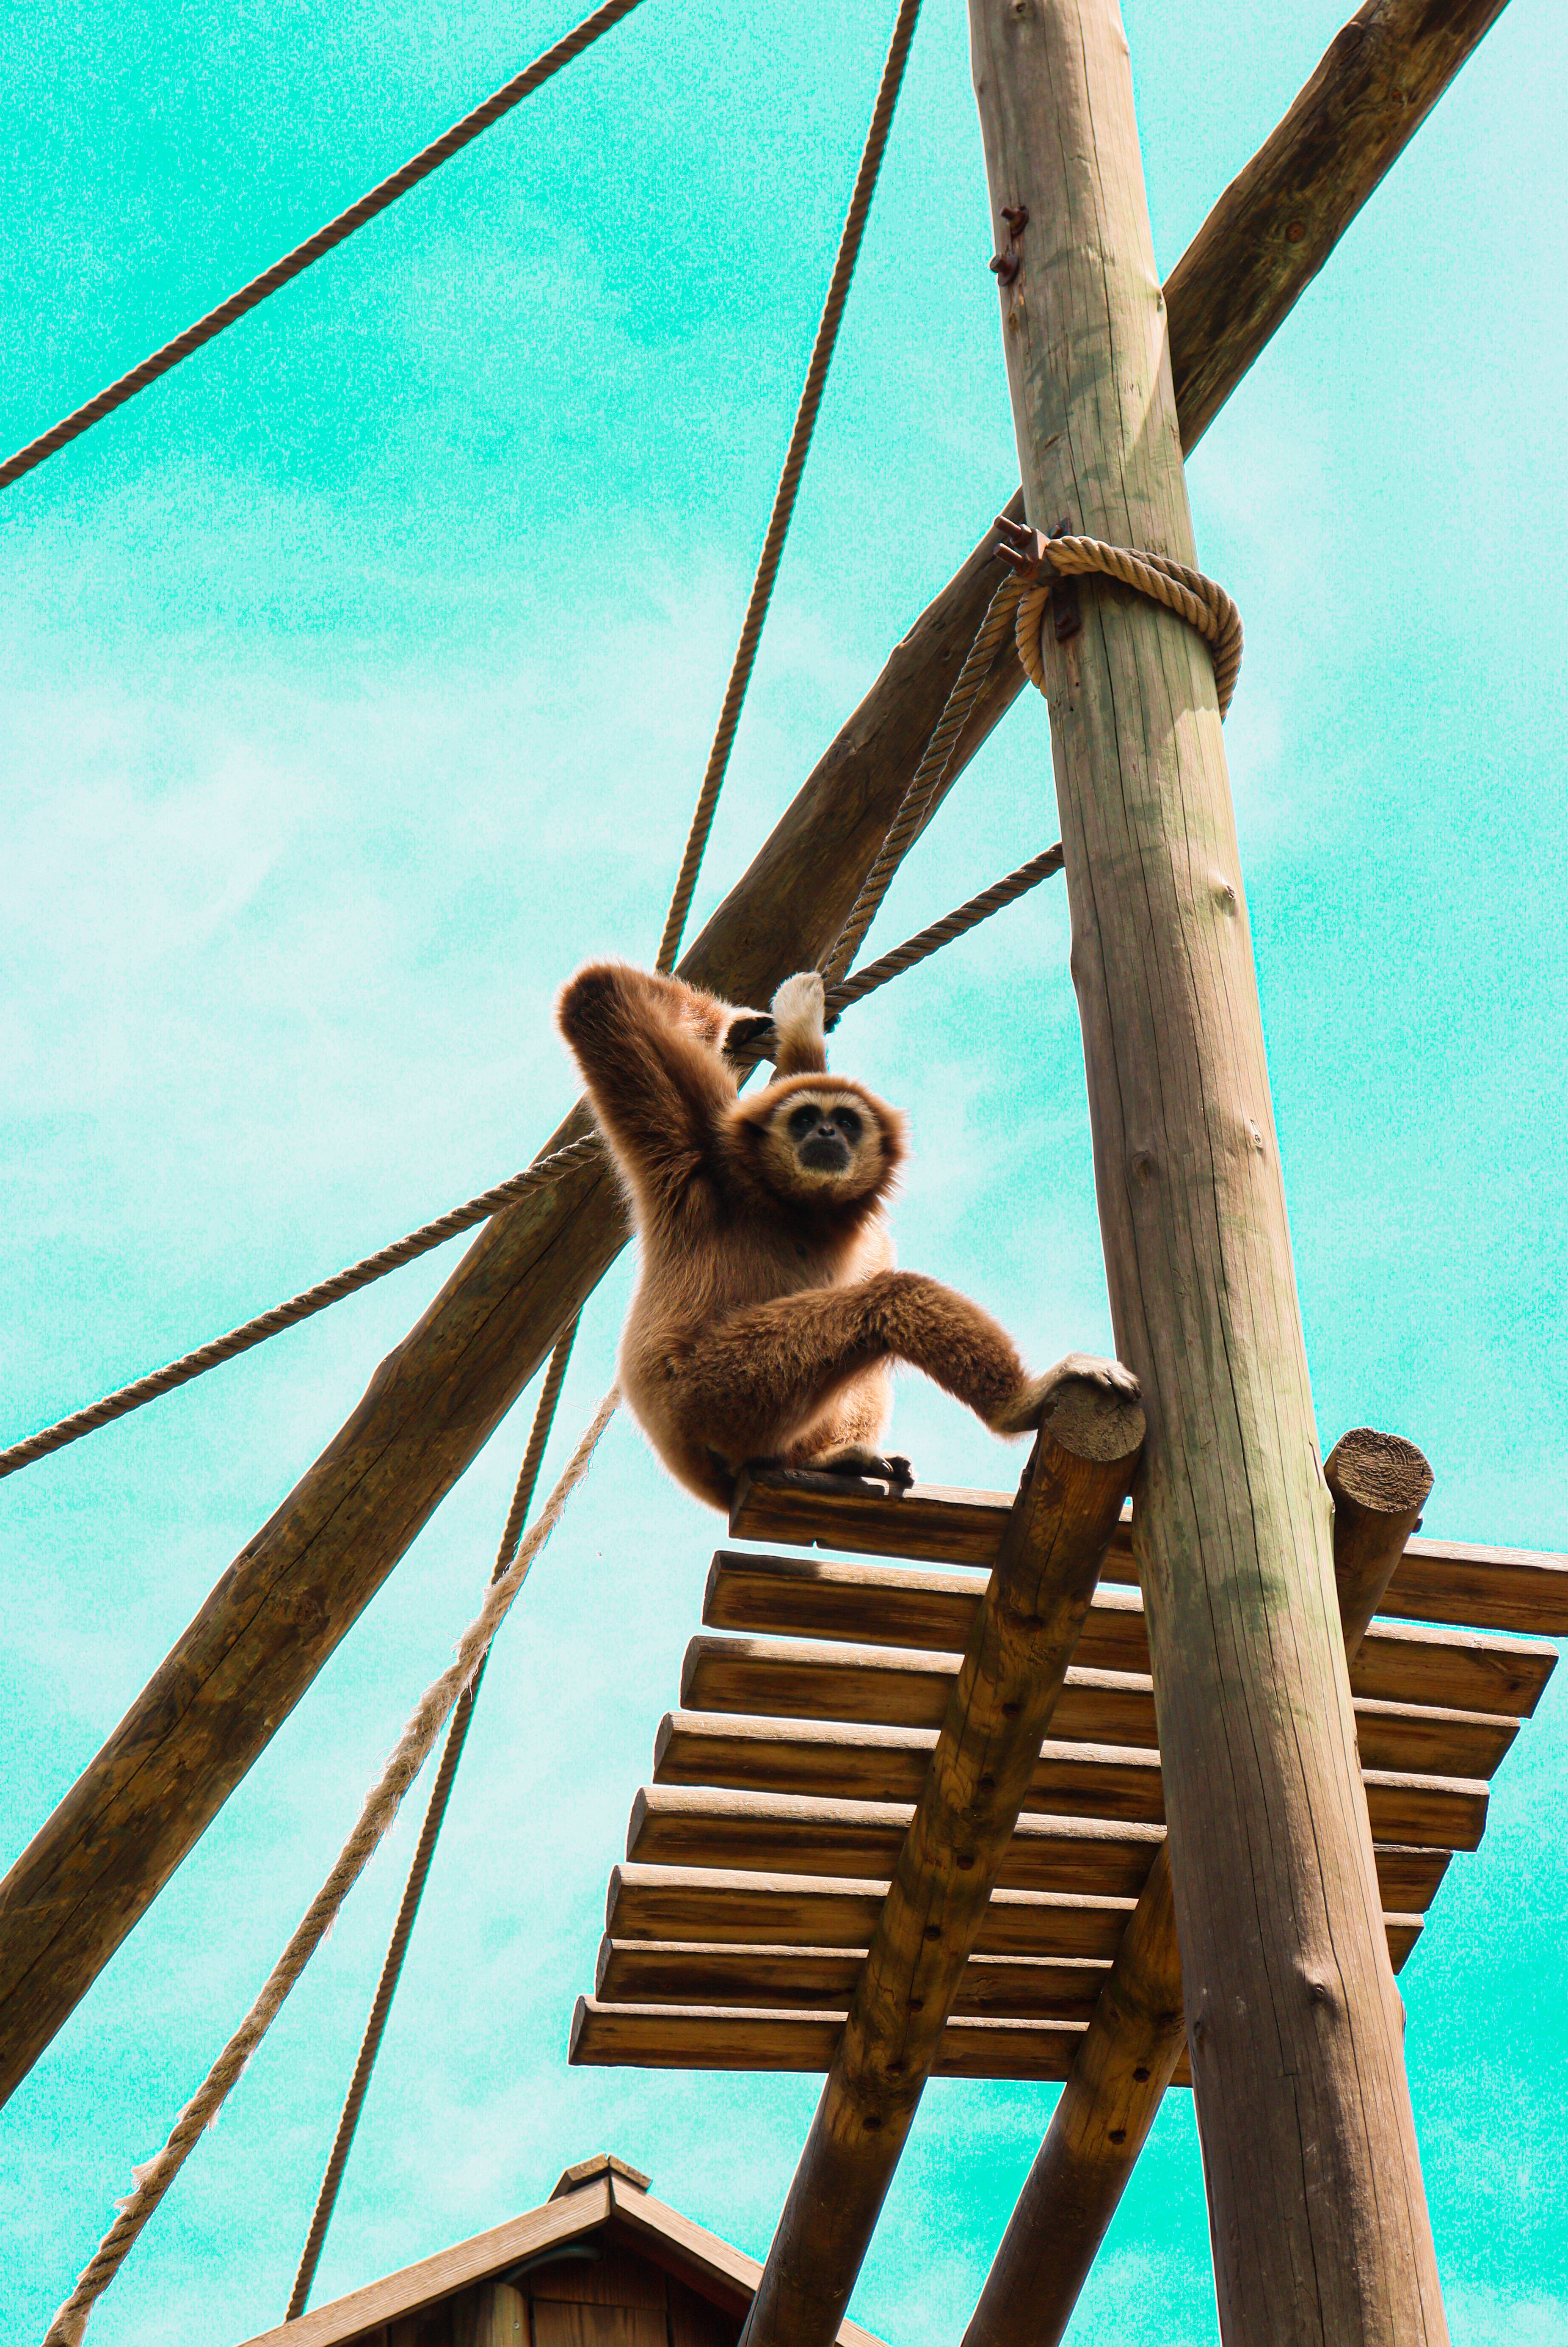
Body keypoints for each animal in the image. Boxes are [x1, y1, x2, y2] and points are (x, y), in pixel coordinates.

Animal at [557, 959, 1137, 1511]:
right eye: (804, 1119)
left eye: (847, 1122)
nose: (825, 1131)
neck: (790, 1208)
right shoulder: (703, 1157)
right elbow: (596, 997)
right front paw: (753, 1023)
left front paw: (795, 1027)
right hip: (715, 1393)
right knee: (890, 1297)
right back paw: (1020, 1406)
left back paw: (833, 1458)